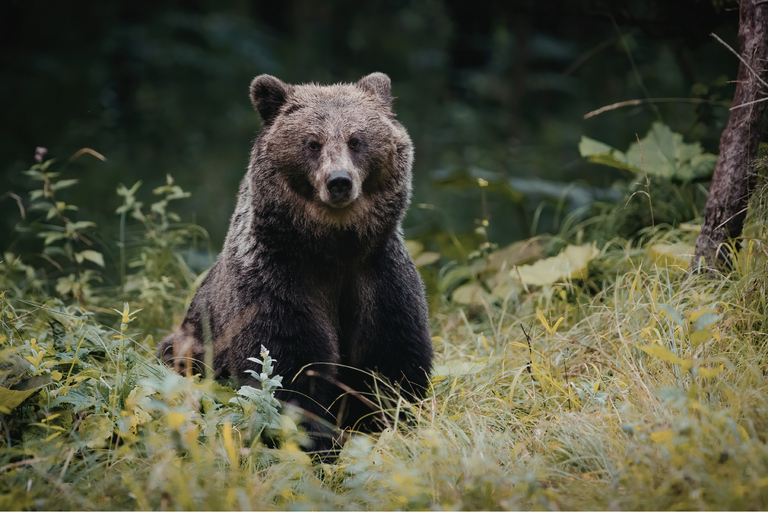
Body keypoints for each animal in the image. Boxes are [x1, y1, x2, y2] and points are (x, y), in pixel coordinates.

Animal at [157, 72, 433, 457]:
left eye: (356, 140)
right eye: (312, 143)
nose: (339, 181)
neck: (332, 249)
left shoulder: (378, 275)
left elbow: (392, 360)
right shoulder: (276, 281)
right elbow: (287, 364)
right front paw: (318, 441)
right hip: (191, 343)